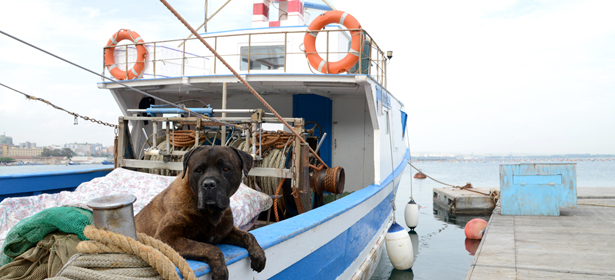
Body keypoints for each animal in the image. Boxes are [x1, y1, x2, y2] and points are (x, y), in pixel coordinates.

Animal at [136, 147, 266, 280]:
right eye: (198, 170)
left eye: (225, 169)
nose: (209, 184)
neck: (211, 213)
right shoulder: (166, 236)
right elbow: (211, 248)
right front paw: (220, 271)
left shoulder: (225, 232)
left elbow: (249, 235)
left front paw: (259, 255)